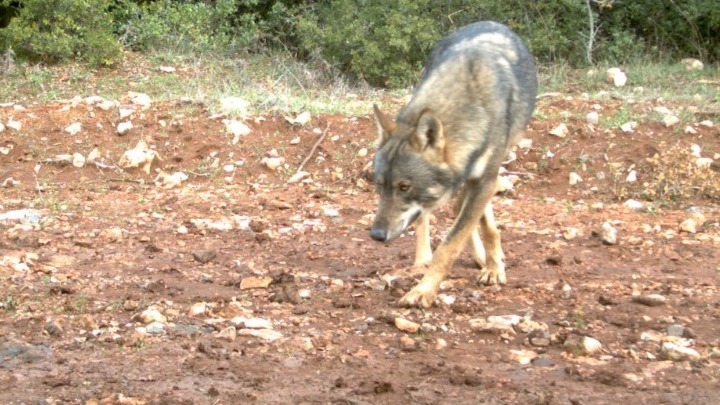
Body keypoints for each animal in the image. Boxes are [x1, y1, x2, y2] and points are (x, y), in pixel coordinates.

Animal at [372, 21, 536, 306]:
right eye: (380, 185)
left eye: (404, 187)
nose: (376, 235)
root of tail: (488, 21)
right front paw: (425, 282)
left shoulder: (486, 179)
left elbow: (453, 241)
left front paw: (425, 290)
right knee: (430, 218)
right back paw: (425, 258)